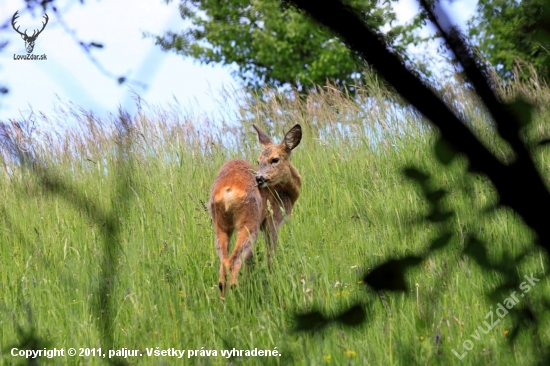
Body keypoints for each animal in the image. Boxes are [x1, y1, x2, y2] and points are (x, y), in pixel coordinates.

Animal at [210, 124, 304, 296]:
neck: (285, 192)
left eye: (274, 159)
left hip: (221, 224)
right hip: (249, 222)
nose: (259, 178)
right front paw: (272, 275)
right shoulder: (272, 221)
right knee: (234, 261)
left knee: (223, 266)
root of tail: (228, 189)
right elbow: (270, 253)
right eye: (258, 161)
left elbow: (251, 259)